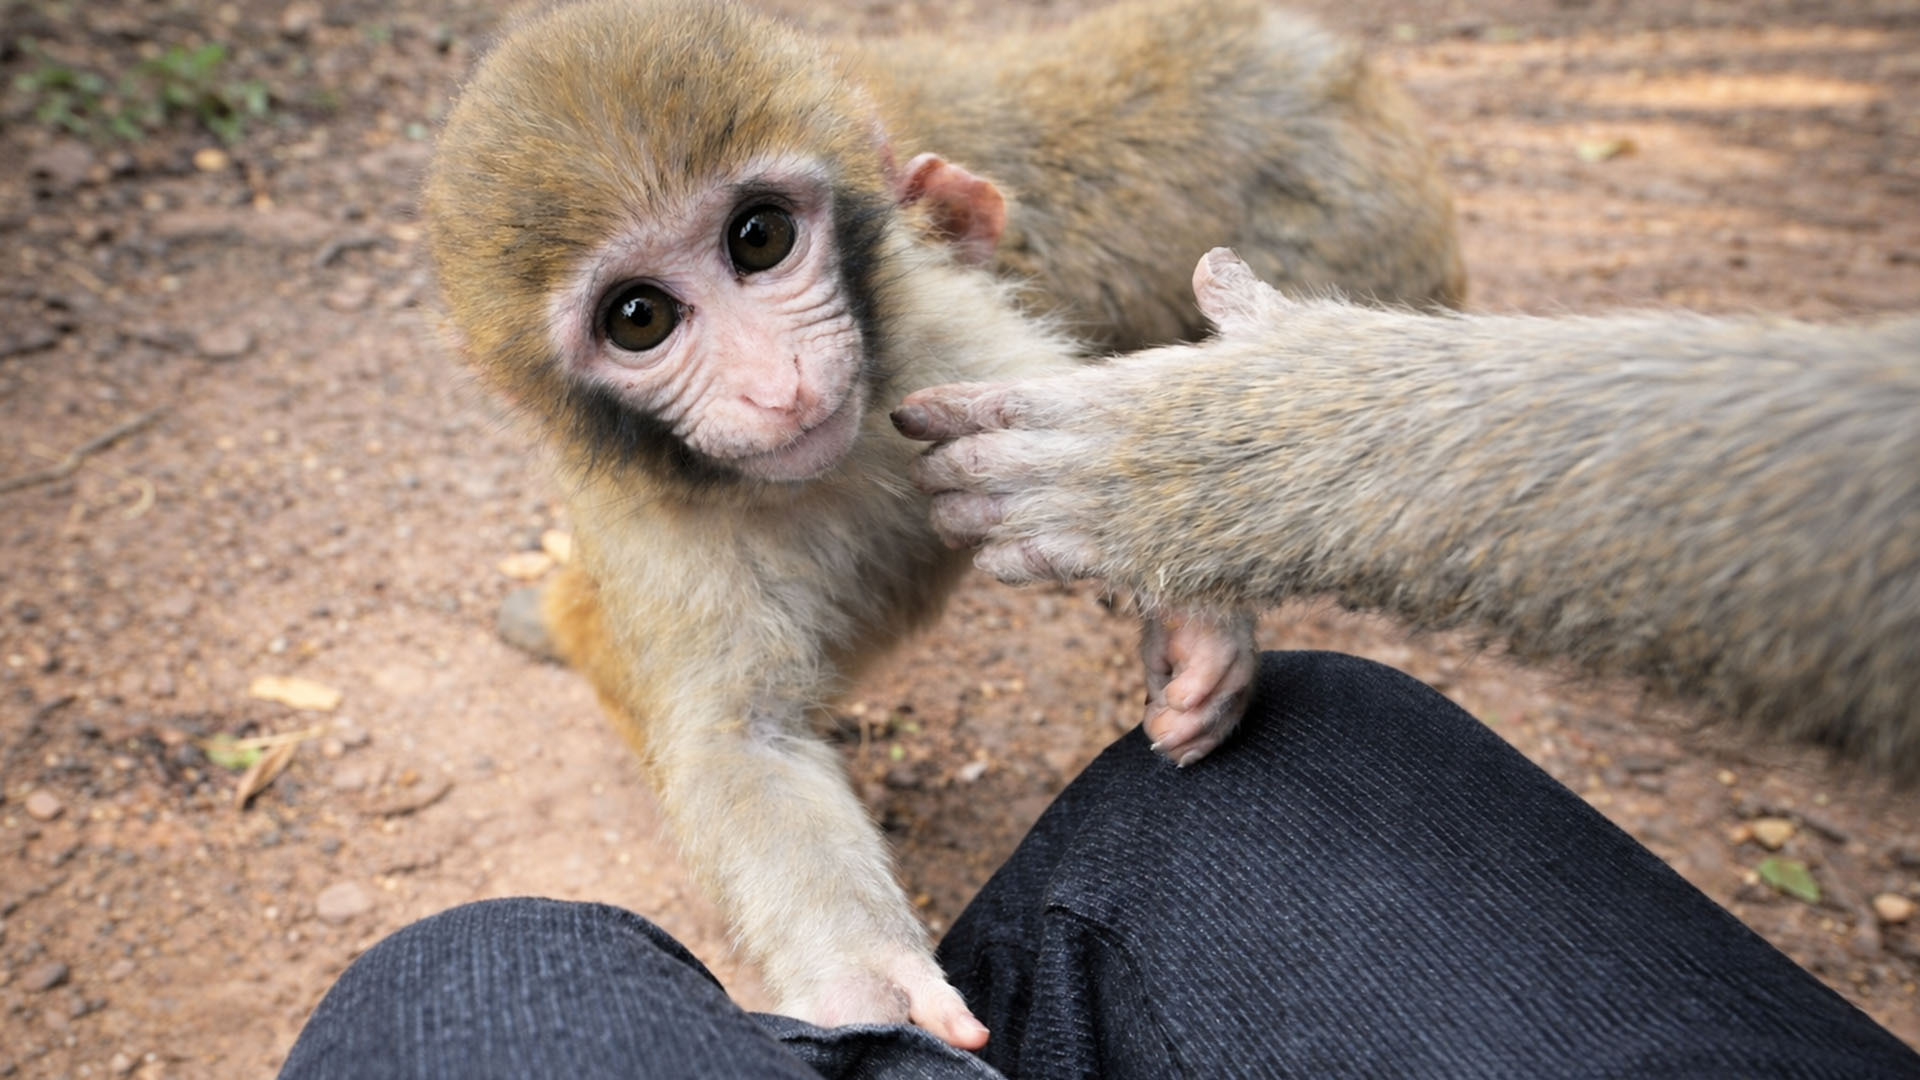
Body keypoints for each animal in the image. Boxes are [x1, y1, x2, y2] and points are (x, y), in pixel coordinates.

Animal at [424, 0, 1463, 1046]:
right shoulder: (650, 527)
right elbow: (743, 739)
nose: (775, 385)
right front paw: (869, 981)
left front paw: (1197, 622)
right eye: (638, 318)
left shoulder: (930, 322)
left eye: (758, 238)